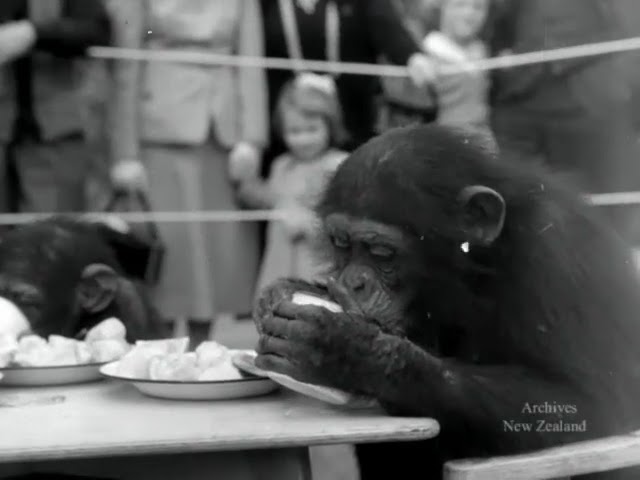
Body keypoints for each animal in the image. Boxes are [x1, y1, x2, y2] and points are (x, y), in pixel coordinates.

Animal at [252, 124, 640, 480]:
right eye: (341, 243)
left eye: (382, 253)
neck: (483, 265)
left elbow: (584, 402)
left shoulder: (556, 253)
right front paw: (284, 291)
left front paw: (345, 348)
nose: (353, 282)